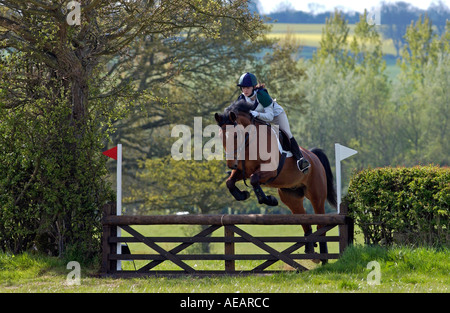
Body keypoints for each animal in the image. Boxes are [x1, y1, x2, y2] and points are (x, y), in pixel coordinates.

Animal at [215, 100, 338, 258]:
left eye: (236, 136)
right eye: (220, 136)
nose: (231, 164)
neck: (251, 142)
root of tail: (314, 156)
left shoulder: (270, 170)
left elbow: (254, 180)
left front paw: (269, 200)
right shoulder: (242, 171)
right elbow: (230, 182)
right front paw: (242, 195)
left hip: (317, 195)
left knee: (320, 222)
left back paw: (323, 256)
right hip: (291, 197)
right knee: (305, 221)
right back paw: (310, 250)